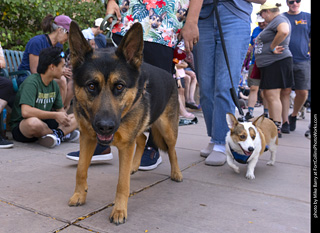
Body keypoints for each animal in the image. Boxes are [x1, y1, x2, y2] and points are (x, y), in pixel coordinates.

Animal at [67, 21, 182, 224]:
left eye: (119, 86)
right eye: (91, 86)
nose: (105, 126)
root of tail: (171, 75)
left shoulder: (125, 145)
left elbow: (122, 183)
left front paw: (119, 210)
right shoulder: (87, 138)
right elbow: (80, 169)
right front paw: (79, 195)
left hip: (167, 129)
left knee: (172, 149)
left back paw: (176, 173)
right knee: (142, 139)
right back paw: (134, 167)